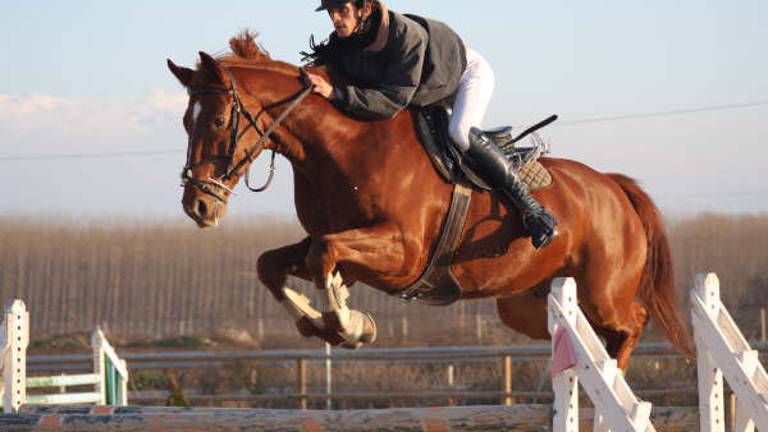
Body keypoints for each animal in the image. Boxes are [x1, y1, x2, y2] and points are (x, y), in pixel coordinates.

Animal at [168, 33, 688, 368]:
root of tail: (614, 187)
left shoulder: (403, 253)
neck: (340, 144)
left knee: (630, 323)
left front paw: (348, 325)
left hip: (604, 291)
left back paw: (613, 379)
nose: (198, 207)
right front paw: (332, 321)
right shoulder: (336, 240)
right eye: (185, 122)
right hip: (526, 302)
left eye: (218, 121)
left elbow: (324, 256)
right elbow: (275, 264)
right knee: (580, 333)